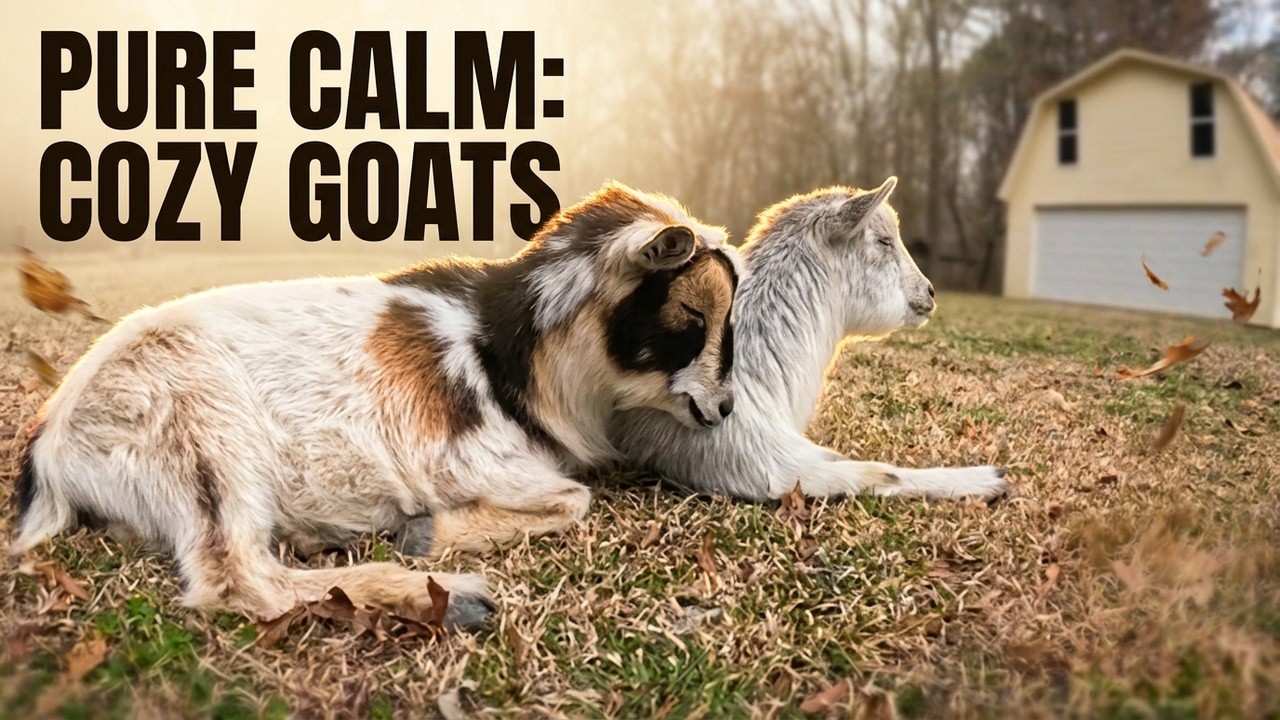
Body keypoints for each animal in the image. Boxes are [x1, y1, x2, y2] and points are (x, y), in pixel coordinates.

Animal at [10, 182, 742, 626]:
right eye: (688, 316)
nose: (727, 406)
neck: (507, 353)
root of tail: (52, 446)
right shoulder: (467, 460)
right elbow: (574, 500)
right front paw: (426, 535)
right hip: (203, 436)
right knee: (239, 578)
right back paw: (452, 600)